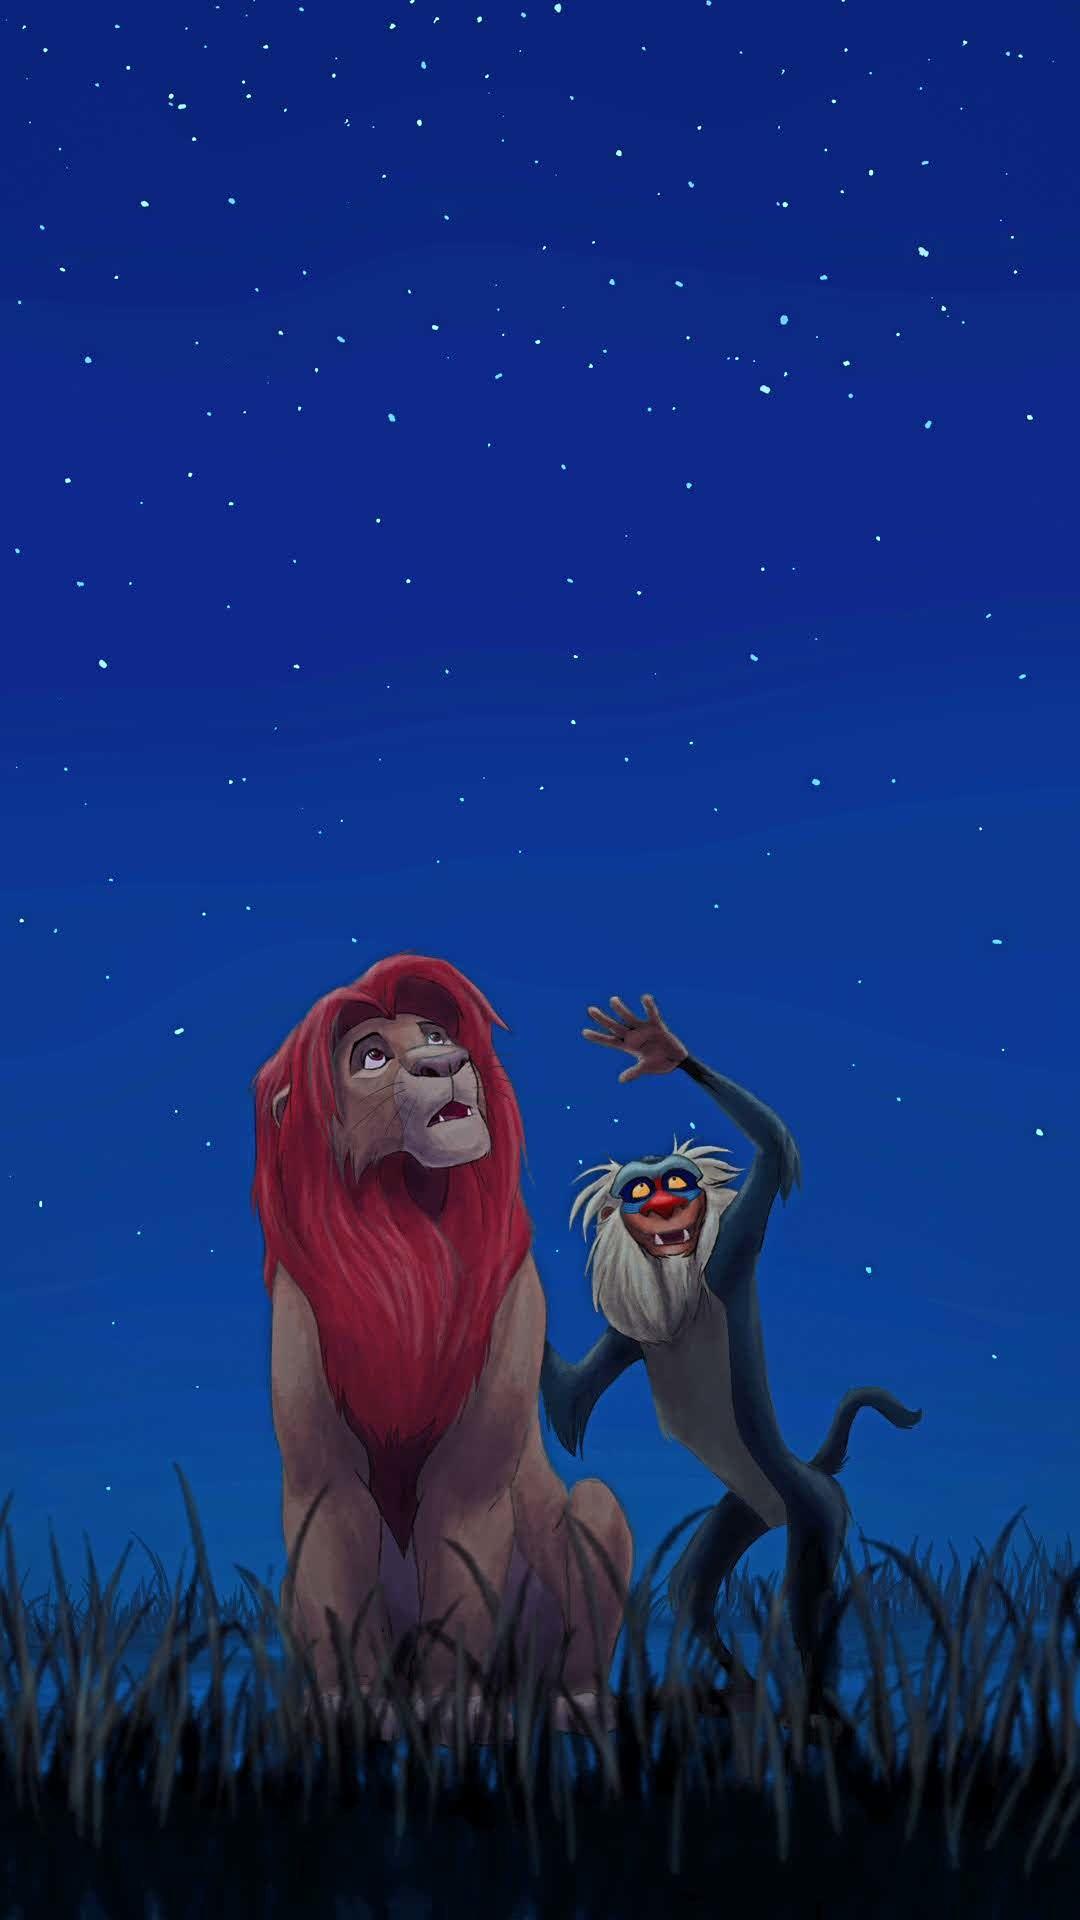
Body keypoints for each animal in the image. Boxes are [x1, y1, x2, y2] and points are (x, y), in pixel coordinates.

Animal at [251, 953, 632, 1727]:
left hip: (595, 1512)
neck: (407, 1210)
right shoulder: (319, 1473)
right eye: (370, 1055)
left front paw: (452, 1708)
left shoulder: (475, 1463)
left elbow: (458, 1571)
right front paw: (347, 1705)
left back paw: (574, 1699)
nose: (446, 1062)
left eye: (432, 1032)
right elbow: (336, 1580)